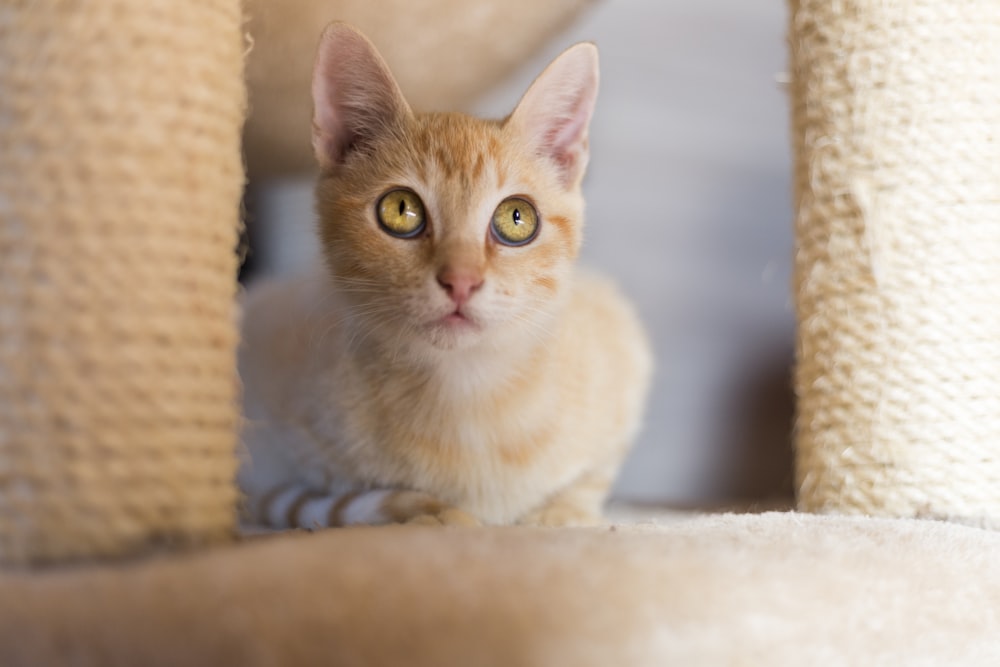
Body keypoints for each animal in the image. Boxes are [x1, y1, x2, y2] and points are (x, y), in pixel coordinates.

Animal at [238, 22, 652, 528]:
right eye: (401, 210)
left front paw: (555, 519)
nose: (461, 281)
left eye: (517, 218)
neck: (467, 395)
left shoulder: (624, 350)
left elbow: (586, 483)